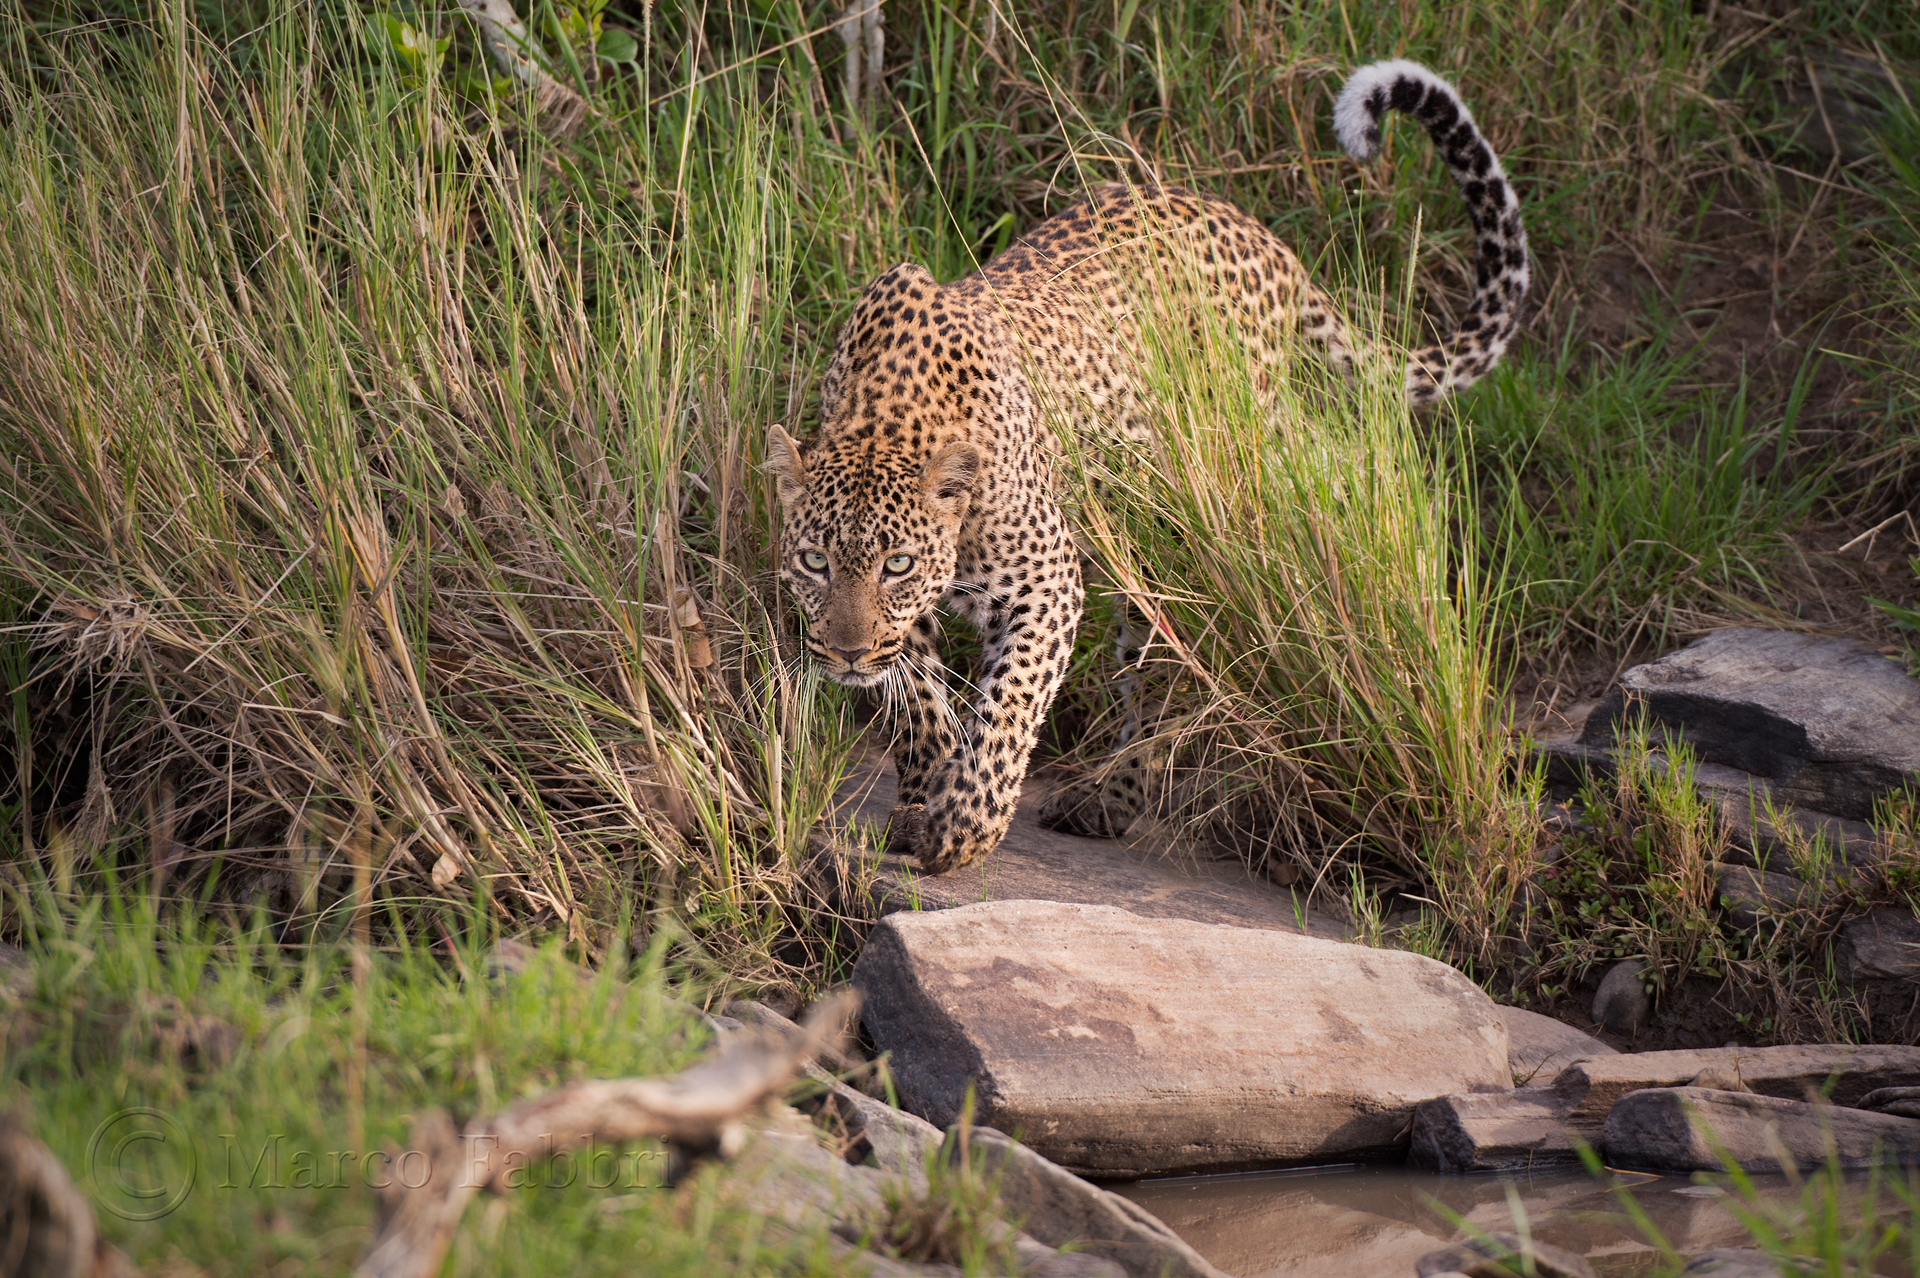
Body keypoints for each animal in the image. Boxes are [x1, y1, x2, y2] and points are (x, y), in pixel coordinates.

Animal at [766, 60, 1529, 874]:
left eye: (897, 565)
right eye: (814, 561)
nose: (844, 656)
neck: (889, 415)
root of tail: (1261, 233)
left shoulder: (1045, 583)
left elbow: (1008, 712)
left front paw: (963, 825)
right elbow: (920, 700)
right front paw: (923, 795)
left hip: (1198, 518)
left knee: (1175, 668)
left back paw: (1111, 797)